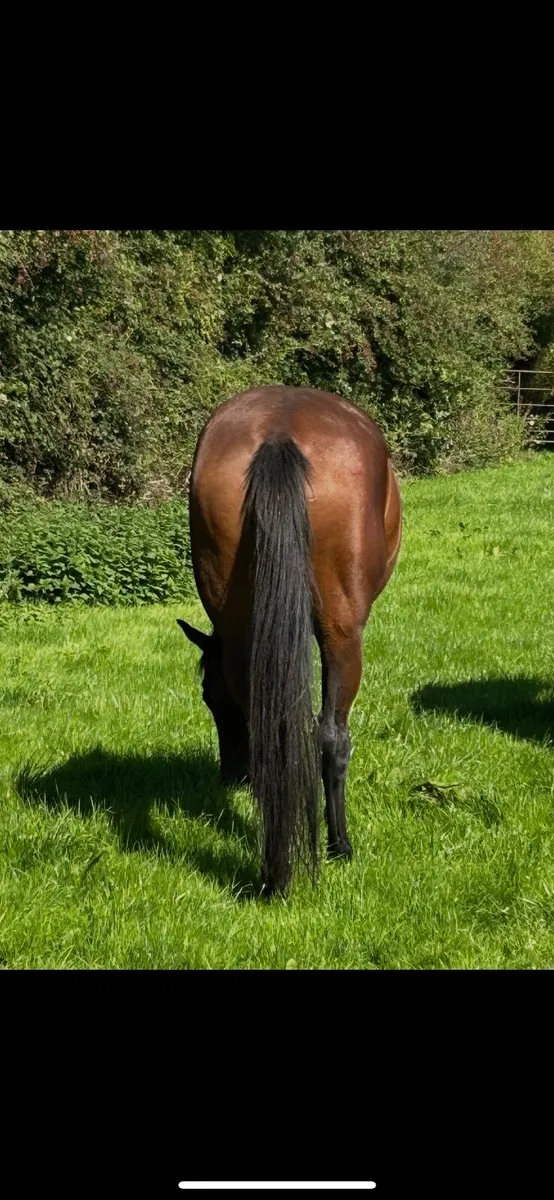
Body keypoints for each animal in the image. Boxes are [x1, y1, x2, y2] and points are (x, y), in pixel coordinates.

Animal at [178, 386, 402, 896]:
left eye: (209, 697)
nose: (231, 774)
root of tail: (280, 433)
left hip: (242, 627)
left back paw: (272, 867)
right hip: (343, 633)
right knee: (332, 736)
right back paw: (339, 846)